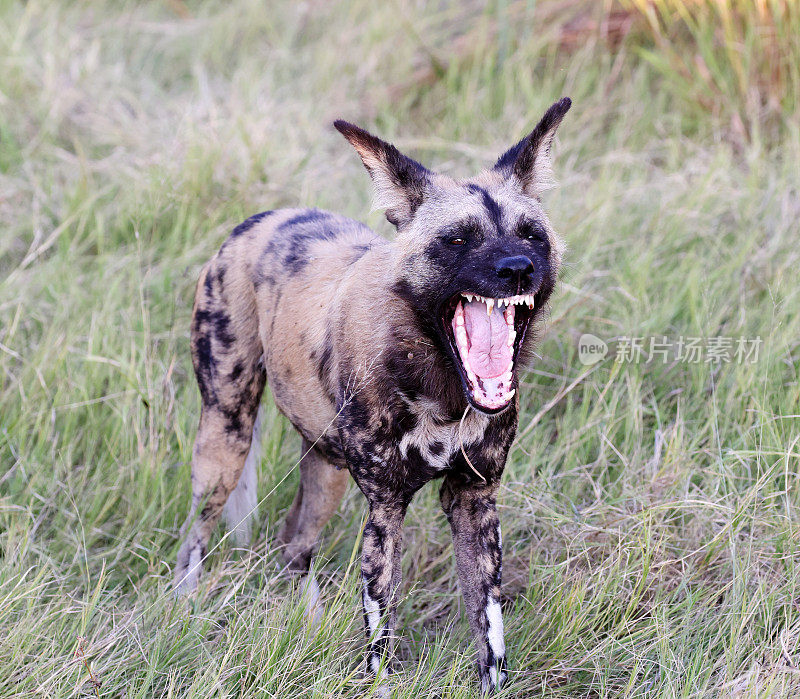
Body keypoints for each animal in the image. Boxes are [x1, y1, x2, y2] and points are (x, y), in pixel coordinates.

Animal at [177, 98, 568, 696]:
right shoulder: (385, 508)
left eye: (532, 236)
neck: (444, 391)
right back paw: (183, 604)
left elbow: (490, 631)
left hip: (326, 469)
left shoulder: (474, 501)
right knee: (196, 532)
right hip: (226, 438)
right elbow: (380, 626)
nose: (517, 268)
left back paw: (307, 618)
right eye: (458, 239)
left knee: (295, 545)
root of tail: (259, 219)